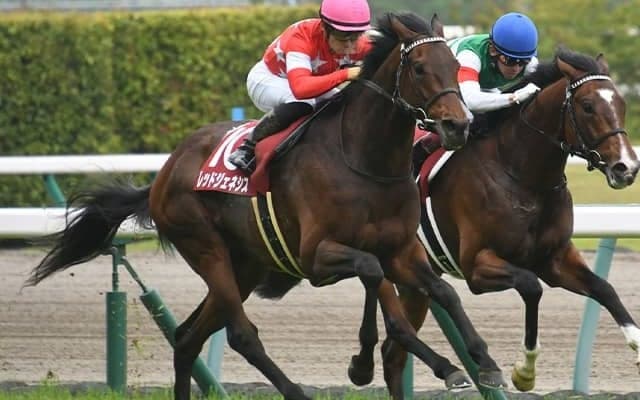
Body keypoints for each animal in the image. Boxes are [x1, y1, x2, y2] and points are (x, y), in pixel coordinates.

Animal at [24, 12, 510, 400]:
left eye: (456, 66)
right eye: (420, 67)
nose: (458, 125)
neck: (366, 161)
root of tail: (164, 172)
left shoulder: (401, 249)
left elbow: (442, 291)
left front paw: (480, 365)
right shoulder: (318, 256)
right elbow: (377, 282)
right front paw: (375, 364)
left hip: (245, 265)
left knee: (186, 338)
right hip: (206, 248)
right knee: (241, 335)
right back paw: (294, 390)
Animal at [347, 48, 640, 397]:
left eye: (621, 104)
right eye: (587, 106)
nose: (626, 167)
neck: (523, 177)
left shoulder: (554, 259)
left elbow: (604, 288)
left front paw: (638, 345)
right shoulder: (477, 265)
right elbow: (531, 285)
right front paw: (523, 371)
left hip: (416, 280)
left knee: (394, 354)